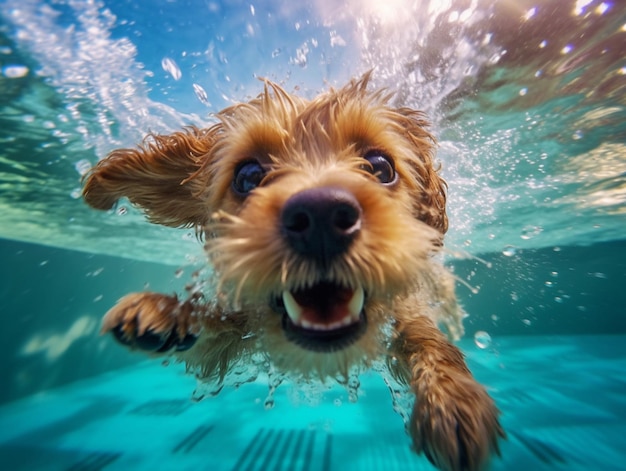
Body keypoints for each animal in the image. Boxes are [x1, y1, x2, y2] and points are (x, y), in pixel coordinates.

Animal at [83, 74, 502, 471]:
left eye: (381, 167)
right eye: (248, 176)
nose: (321, 215)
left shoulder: (405, 312)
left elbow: (427, 340)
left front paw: (452, 400)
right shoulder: (242, 323)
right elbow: (216, 325)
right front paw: (168, 313)